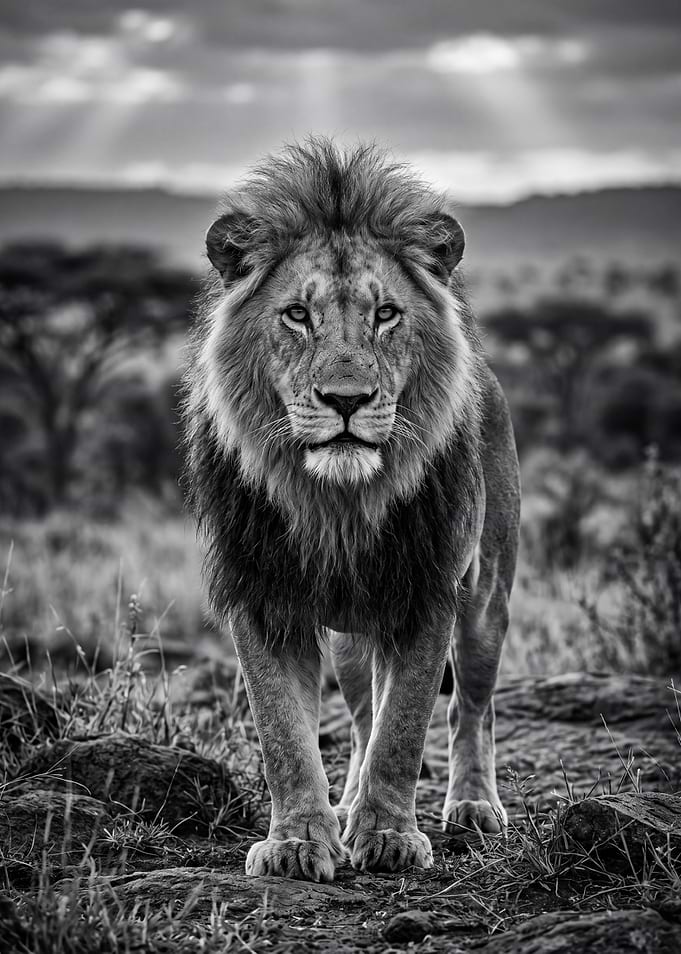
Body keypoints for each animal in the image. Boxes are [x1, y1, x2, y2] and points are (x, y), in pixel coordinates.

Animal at [184, 138, 520, 883]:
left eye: (385, 314)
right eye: (297, 315)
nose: (345, 400)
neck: (336, 503)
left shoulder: (429, 593)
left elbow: (406, 726)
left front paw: (390, 837)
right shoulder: (261, 595)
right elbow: (284, 733)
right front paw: (298, 841)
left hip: (486, 599)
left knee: (471, 711)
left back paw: (473, 806)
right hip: (348, 639)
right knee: (363, 719)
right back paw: (346, 804)